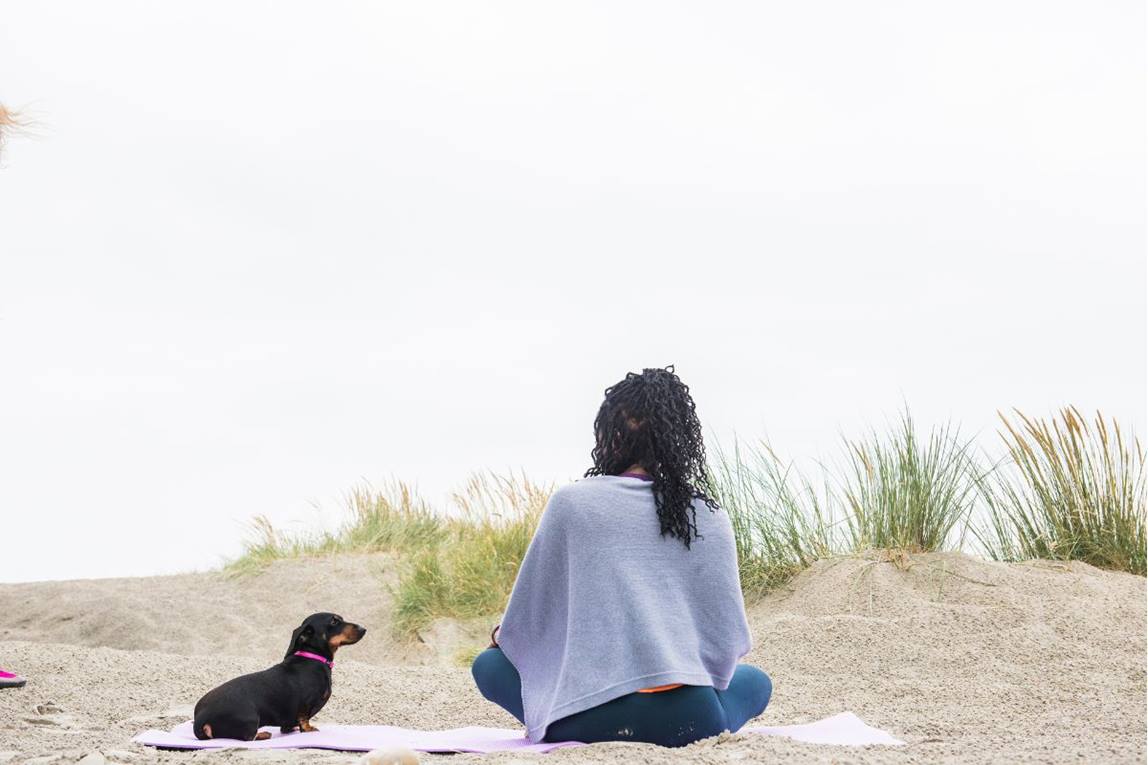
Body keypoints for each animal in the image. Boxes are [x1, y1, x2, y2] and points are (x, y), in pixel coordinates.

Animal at [190, 606, 365, 739]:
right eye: (334, 621)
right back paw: (263, 734)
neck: (313, 658)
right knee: (248, 737)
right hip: (250, 719)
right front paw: (308, 729)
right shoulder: (305, 704)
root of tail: (200, 718)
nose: (363, 629)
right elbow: (304, 719)